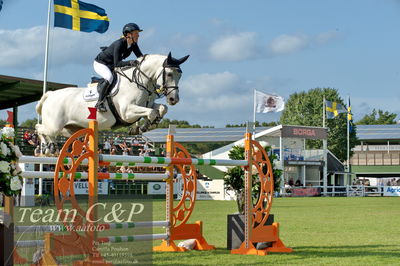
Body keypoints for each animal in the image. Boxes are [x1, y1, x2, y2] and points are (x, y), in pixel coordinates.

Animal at [35, 53, 189, 153]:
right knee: (39, 128)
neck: (138, 82)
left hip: (70, 129)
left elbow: (161, 108)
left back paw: (51, 148)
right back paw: (47, 148)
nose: (174, 99)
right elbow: (151, 112)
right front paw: (144, 126)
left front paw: (147, 125)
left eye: (180, 75)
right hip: (54, 125)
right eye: (169, 74)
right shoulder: (127, 112)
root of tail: (50, 94)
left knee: (49, 132)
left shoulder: (146, 105)